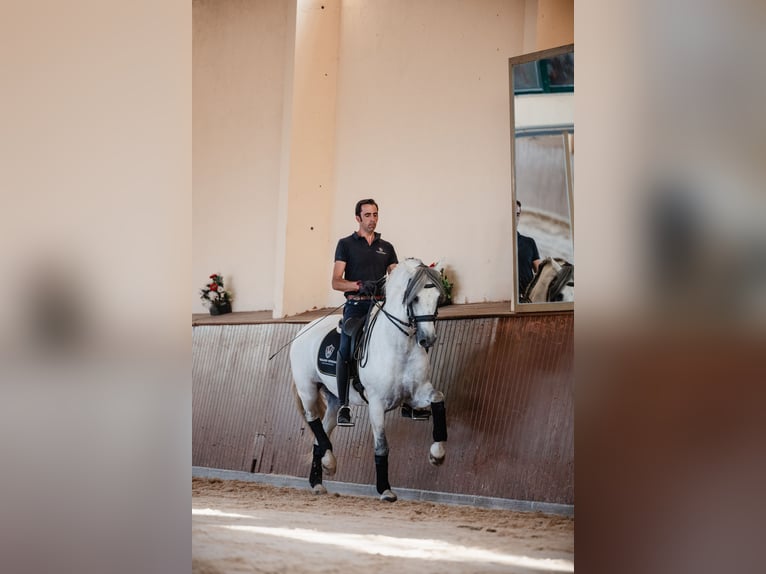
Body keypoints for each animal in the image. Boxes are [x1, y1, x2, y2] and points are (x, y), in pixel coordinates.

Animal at [292, 258, 452, 502]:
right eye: (414, 298)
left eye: (437, 298)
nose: (428, 339)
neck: (399, 345)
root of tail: (303, 330)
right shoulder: (376, 403)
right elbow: (381, 446)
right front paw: (385, 489)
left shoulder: (417, 394)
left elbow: (438, 399)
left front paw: (437, 455)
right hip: (307, 389)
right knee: (313, 420)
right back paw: (329, 463)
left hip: (335, 399)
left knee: (321, 436)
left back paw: (318, 482)